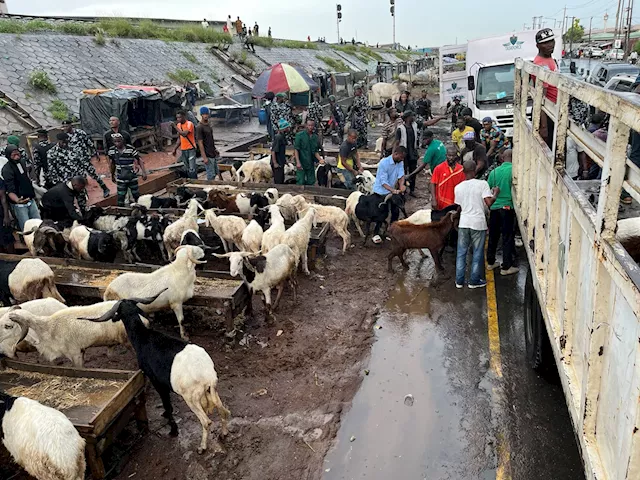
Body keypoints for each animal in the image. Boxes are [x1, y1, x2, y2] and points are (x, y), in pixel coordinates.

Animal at [80, 292, 230, 454]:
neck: (143, 337)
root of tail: (207, 377)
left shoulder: (155, 380)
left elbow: (167, 404)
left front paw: (173, 430)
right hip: (212, 392)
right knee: (224, 411)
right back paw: (223, 433)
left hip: (191, 398)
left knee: (206, 421)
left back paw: (202, 447)